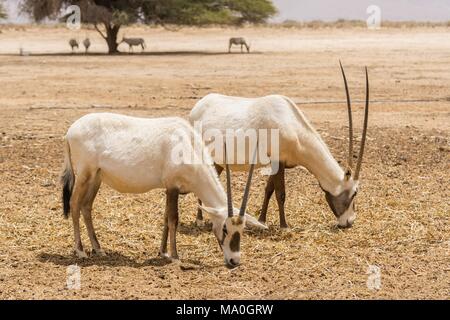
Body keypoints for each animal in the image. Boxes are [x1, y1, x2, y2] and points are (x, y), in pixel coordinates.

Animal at [60, 114, 266, 266]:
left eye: (243, 229)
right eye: (225, 228)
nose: (234, 261)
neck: (187, 144)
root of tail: (70, 131)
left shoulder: (169, 188)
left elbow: (166, 218)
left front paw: (163, 252)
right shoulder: (173, 187)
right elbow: (174, 219)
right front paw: (175, 256)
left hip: (96, 177)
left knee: (86, 207)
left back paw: (98, 249)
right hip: (85, 174)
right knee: (75, 204)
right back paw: (80, 251)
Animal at [190, 62, 370, 229]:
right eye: (354, 193)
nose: (349, 222)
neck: (291, 123)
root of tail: (197, 107)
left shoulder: (278, 162)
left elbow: (269, 190)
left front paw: (262, 220)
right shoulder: (278, 160)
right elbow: (280, 193)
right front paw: (284, 226)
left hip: (218, 161)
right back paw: (199, 220)